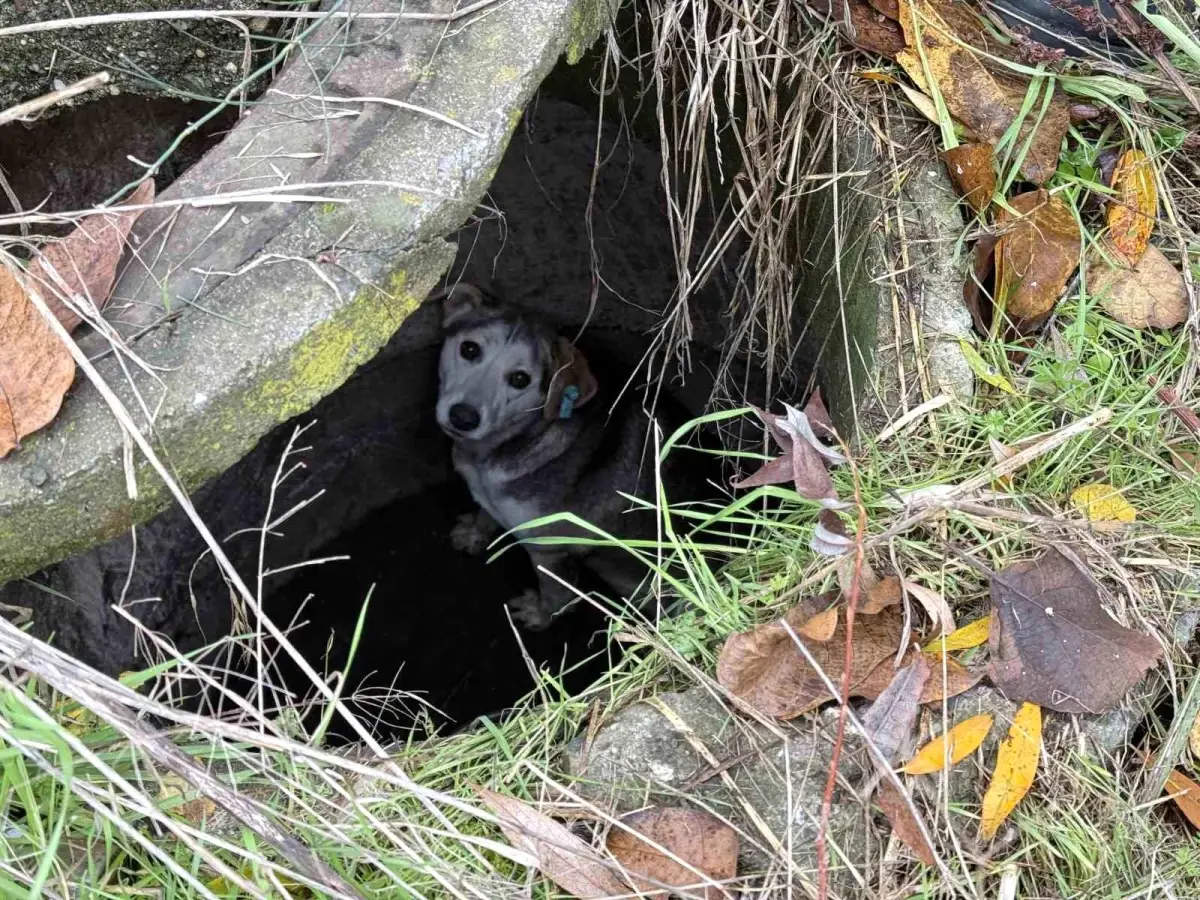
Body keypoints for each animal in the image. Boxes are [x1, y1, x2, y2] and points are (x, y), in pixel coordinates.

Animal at [432, 285, 681, 628]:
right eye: (469, 349)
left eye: (520, 379)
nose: (463, 417)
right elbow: (486, 513)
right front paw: (474, 533)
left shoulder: (548, 550)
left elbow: (556, 593)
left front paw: (540, 615)